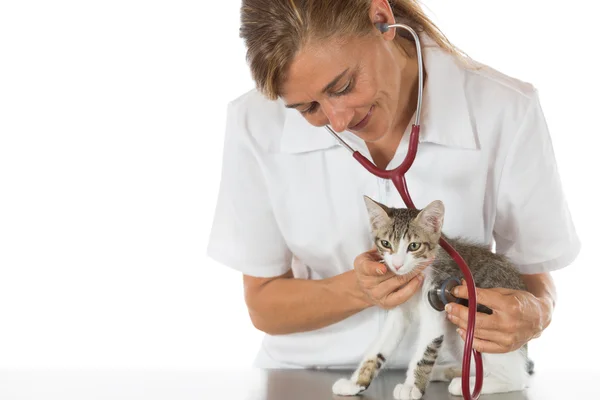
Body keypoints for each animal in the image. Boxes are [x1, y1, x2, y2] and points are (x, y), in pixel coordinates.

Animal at [332, 197, 536, 400]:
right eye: (386, 243)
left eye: (414, 246)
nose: (397, 265)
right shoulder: (399, 309)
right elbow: (379, 346)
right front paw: (355, 383)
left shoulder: (437, 301)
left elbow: (425, 350)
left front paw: (411, 386)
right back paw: (447, 371)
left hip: (478, 328)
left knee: (519, 379)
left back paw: (467, 384)